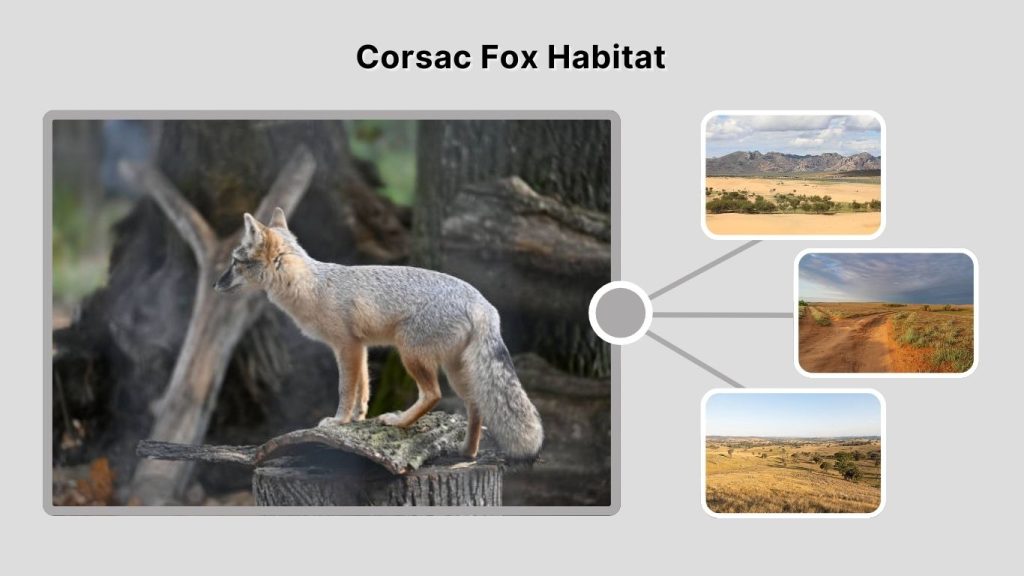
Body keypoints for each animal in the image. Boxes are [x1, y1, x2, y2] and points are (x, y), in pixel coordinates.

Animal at [213, 208, 543, 459]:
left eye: (234, 263)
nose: (216, 284)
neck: (312, 286)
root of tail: (483, 302)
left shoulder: (345, 346)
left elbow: (346, 389)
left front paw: (338, 421)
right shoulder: (359, 347)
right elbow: (363, 390)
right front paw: (357, 420)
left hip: (410, 354)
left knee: (433, 395)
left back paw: (398, 422)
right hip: (456, 370)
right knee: (475, 405)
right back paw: (467, 453)